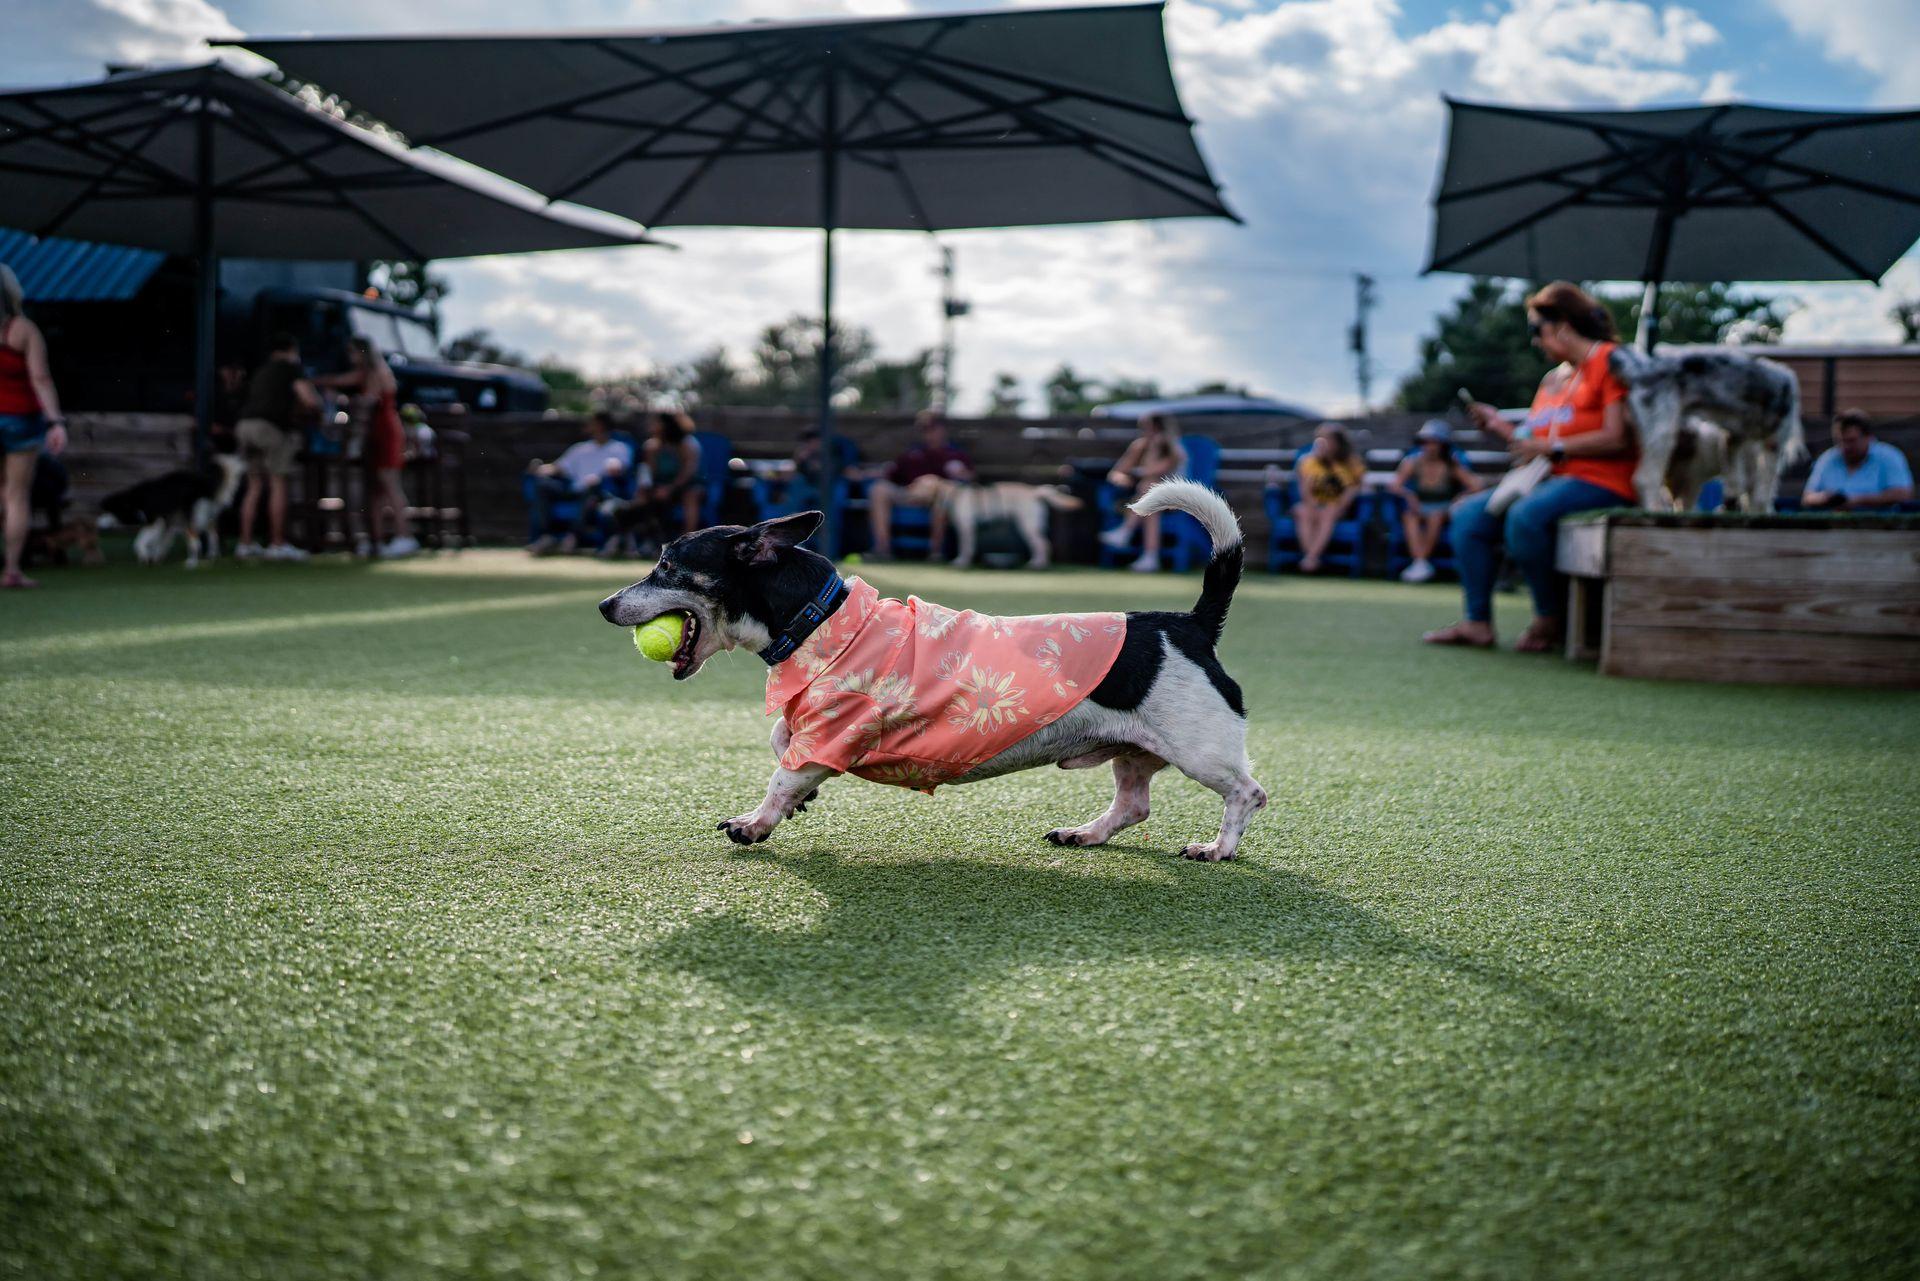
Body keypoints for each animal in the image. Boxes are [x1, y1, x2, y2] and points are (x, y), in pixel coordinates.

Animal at [99, 453, 247, 568]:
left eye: (107, 512)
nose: (98, 523)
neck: (135, 500)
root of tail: (202, 483)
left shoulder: (155, 521)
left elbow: (139, 541)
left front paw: (145, 556)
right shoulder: (166, 524)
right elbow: (160, 542)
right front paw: (155, 558)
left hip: (188, 520)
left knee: (195, 541)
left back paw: (191, 563)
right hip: (205, 517)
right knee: (213, 535)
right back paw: (212, 556)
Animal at [925, 478, 1082, 568]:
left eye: (918, 483)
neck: (953, 494)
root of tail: (1035, 492)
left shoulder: (966, 528)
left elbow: (965, 547)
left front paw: (961, 562)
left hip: (1027, 525)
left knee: (1042, 544)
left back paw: (1038, 564)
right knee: (1044, 544)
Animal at [1612, 351, 1804, 514]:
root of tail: (1641, 370)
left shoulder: (1733, 440)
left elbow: (1737, 484)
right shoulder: (1773, 444)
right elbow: (1762, 494)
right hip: (1663, 435)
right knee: (1645, 480)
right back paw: (1656, 511)